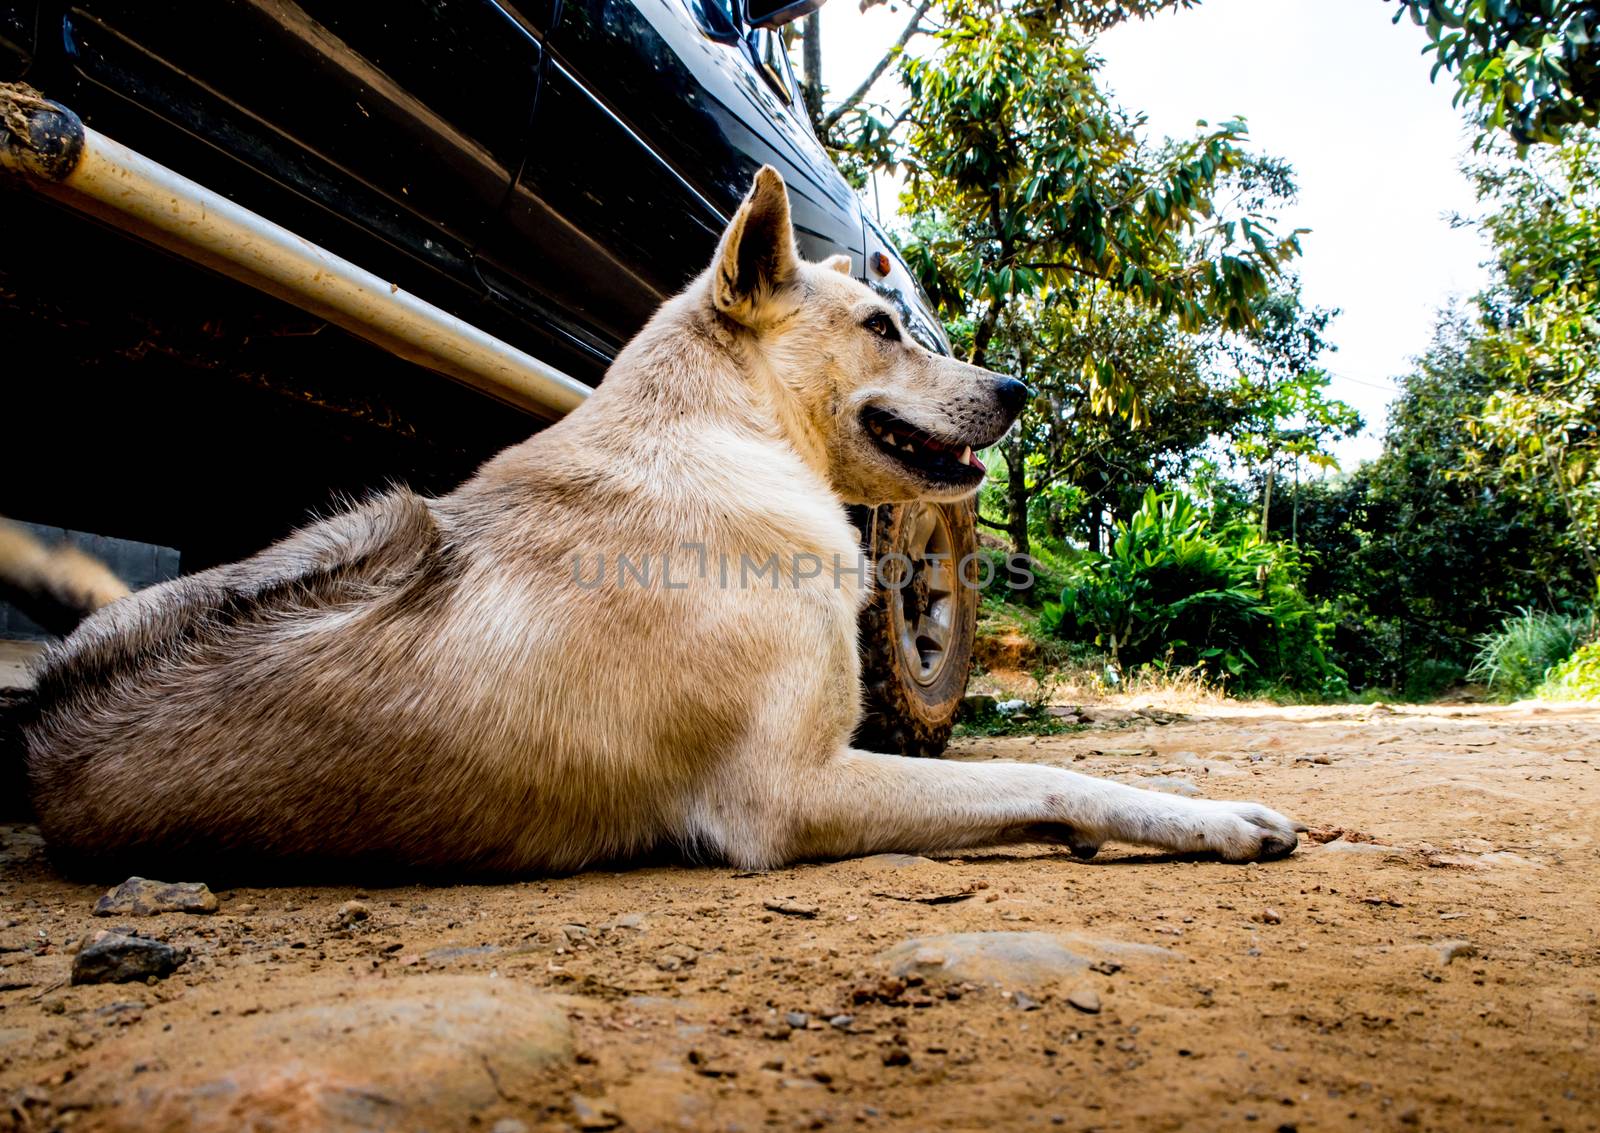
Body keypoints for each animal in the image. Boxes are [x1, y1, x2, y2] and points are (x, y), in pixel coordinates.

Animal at [21, 165, 1299, 876]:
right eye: (884, 325)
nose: (1019, 389)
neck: (715, 433)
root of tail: (32, 722)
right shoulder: (790, 793)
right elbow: (1050, 774)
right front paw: (1211, 818)